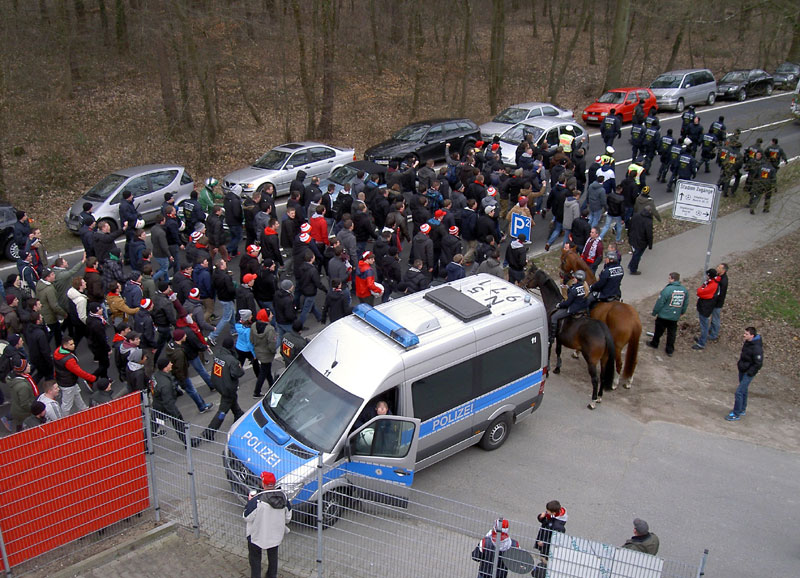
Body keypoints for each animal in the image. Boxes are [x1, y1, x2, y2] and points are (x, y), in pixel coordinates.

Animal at [520, 264, 616, 408]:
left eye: (530, 275)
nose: (521, 283)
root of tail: (603, 331)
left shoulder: (550, 336)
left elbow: (549, 352)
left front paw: (548, 371)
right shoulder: (560, 339)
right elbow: (558, 351)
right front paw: (557, 369)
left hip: (591, 360)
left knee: (595, 379)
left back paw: (593, 401)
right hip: (604, 359)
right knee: (603, 376)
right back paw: (599, 397)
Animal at [564, 244, 644, 388]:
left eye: (563, 260)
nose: (561, 273)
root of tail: (634, 320)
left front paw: (576, 352)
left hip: (618, 346)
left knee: (619, 363)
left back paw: (614, 383)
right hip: (632, 344)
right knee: (633, 361)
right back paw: (628, 381)